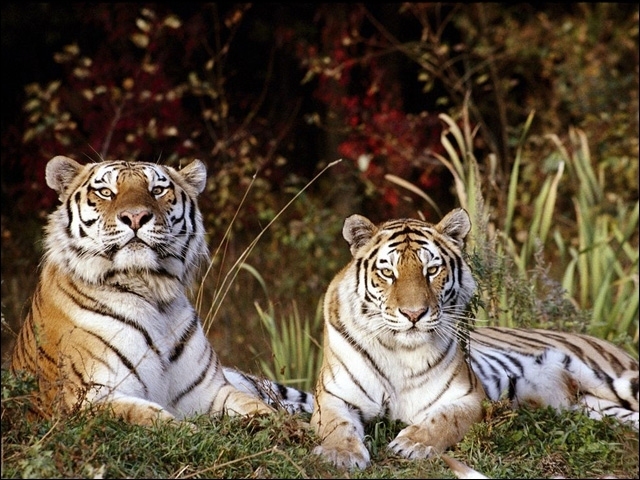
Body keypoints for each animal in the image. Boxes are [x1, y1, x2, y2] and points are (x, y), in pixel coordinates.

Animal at [8, 157, 312, 428]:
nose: (135, 217)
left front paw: (294, 431)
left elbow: (258, 408)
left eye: (157, 190)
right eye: (106, 192)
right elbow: (151, 417)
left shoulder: (211, 391)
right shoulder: (85, 399)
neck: (151, 290)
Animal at [308, 209, 636, 468]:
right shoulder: (333, 396)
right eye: (388, 272)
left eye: (432, 270)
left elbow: (443, 420)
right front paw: (341, 454)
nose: (414, 314)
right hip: (596, 407)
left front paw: (413, 443)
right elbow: (337, 425)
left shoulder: (468, 396)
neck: (399, 350)